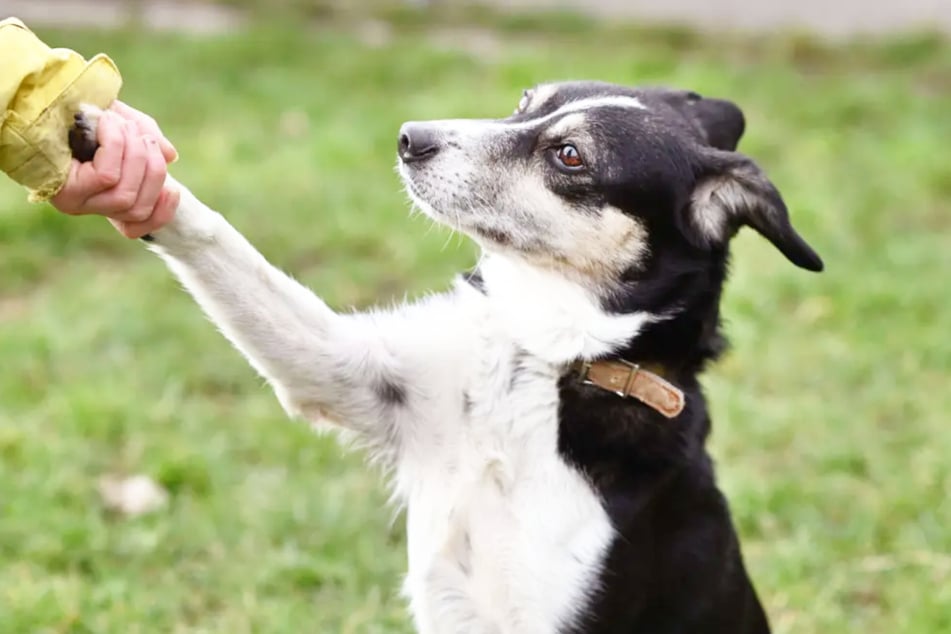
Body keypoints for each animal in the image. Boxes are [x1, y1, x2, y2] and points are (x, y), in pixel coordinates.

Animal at [70, 80, 820, 632]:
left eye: (569, 156)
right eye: (523, 102)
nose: (411, 137)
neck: (539, 369)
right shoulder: (344, 369)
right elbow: (215, 238)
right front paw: (112, 145)